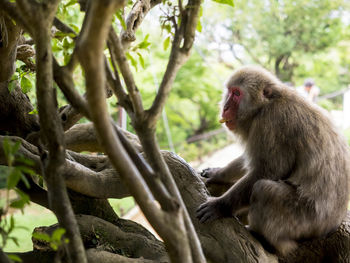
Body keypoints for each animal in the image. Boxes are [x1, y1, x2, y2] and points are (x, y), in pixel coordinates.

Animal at [197, 66, 350, 258]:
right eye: (230, 91)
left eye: (237, 94)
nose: (225, 107)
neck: (267, 104)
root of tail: (333, 224)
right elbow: (249, 161)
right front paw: (217, 172)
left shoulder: (271, 123)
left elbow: (268, 170)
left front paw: (220, 206)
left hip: (307, 220)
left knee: (264, 190)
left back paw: (270, 243)